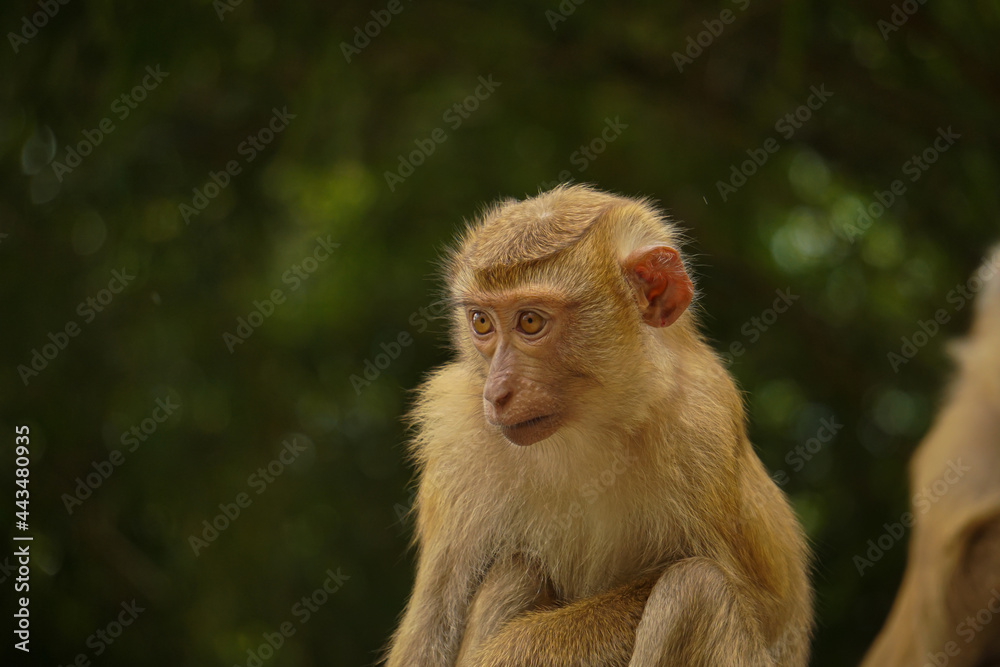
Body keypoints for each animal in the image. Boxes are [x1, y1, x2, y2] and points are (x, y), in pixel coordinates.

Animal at [382, 185, 812, 667]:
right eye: (481, 321)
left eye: (530, 321)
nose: (495, 393)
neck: (586, 431)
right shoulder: (454, 433)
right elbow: (428, 638)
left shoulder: (704, 426)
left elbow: (749, 599)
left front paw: (514, 650)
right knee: (518, 571)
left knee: (695, 589)